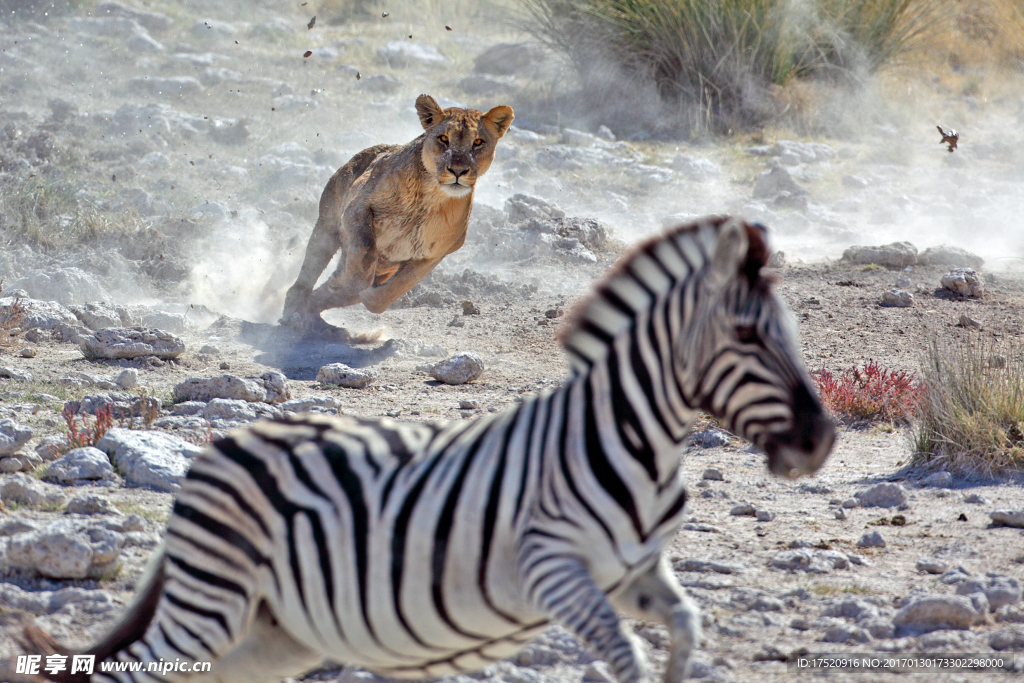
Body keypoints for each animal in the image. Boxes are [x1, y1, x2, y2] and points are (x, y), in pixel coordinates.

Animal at [24, 216, 831, 683]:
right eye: (748, 335)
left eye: (792, 330)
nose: (820, 439)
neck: (629, 441)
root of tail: (225, 448)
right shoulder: (551, 569)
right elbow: (626, 656)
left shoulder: (634, 571)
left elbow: (688, 624)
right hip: (212, 602)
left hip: (274, 629)